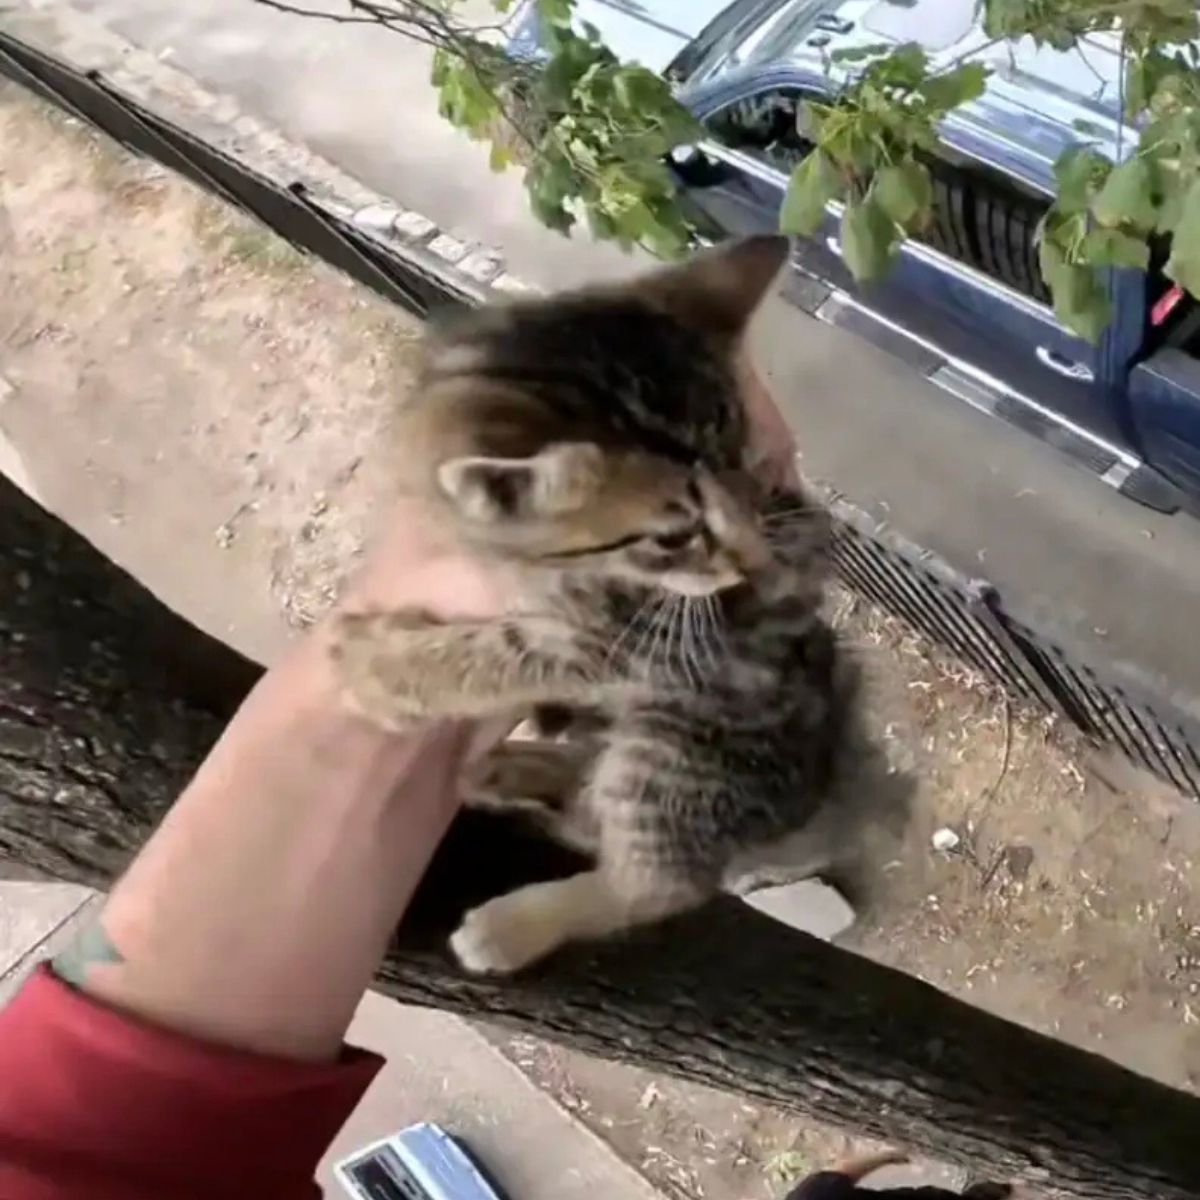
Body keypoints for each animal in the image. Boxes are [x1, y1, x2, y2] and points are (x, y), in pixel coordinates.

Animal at [328, 234, 873, 974]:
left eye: (750, 471)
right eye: (674, 536)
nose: (751, 561)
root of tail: (817, 789)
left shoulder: (623, 639)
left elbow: (508, 652)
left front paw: (379, 671)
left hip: (674, 753)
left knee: (659, 882)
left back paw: (514, 926)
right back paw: (512, 766)